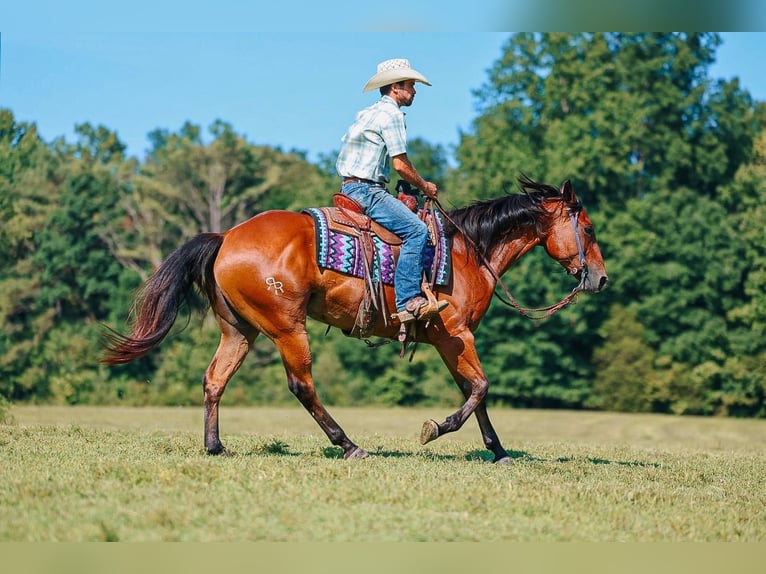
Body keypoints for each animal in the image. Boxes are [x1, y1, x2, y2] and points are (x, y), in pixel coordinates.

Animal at [101, 176, 608, 464]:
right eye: (587, 229)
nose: (600, 278)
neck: (468, 252)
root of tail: (225, 237)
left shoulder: (453, 341)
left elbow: (475, 391)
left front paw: (499, 452)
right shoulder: (456, 334)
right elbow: (480, 388)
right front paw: (436, 429)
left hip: (239, 331)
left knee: (214, 380)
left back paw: (215, 446)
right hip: (287, 327)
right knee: (302, 386)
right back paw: (348, 445)